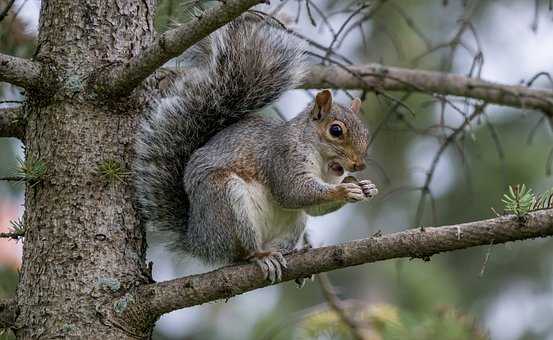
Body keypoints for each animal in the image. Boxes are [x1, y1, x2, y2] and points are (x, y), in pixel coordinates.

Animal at [134, 14, 378, 282]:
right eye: (336, 131)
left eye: (365, 133)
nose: (359, 164)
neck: (321, 161)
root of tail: (198, 240)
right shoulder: (283, 156)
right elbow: (292, 191)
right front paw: (344, 190)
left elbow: (314, 208)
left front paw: (364, 186)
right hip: (225, 201)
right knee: (240, 253)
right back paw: (260, 256)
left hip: (291, 224)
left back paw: (291, 255)